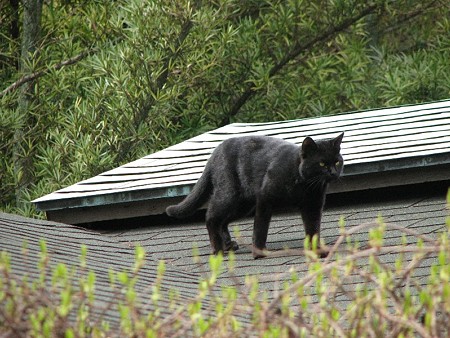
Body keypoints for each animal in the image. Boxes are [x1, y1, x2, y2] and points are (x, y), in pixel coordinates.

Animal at [166, 133, 344, 258]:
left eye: (337, 162)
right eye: (322, 163)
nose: (333, 173)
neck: (304, 184)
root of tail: (215, 152)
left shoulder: (313, 206)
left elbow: (313, 230)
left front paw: (317, 251)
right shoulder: (265, 199)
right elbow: (260, 227)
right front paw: (260, 252)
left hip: (243, 205)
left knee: (222, 221)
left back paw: (228, 245)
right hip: (229, 195)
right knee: (211, 216)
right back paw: (218, 249)